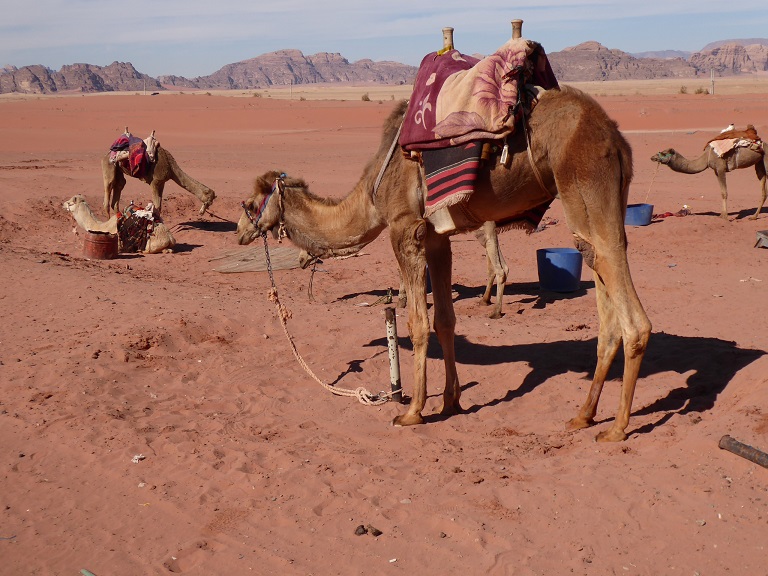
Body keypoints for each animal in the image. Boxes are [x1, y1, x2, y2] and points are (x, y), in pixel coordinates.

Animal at [237, 88, 652, 444]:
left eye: (249, 204)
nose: (241, 232)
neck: (372, 192)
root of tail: (614, 136)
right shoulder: (438, 238)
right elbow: (445, 320)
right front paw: (451, 401)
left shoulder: (406, 228)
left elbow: (418, 322)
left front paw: (413, 411)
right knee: (600, 286)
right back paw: (583, 415)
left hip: (585, 180)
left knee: (626, 303)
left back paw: (616, 428)